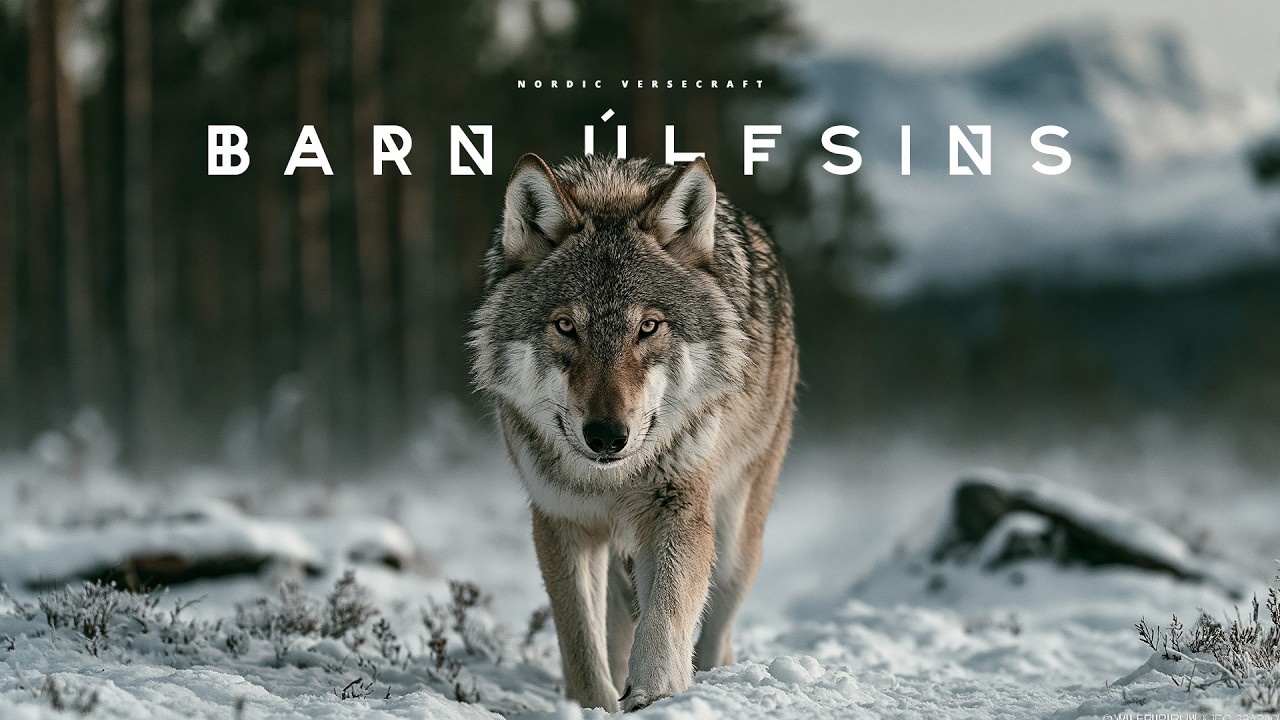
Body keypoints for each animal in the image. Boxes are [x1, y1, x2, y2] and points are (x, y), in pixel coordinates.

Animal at [470, 153, 797, 711]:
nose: (606, 436)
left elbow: (667, 612)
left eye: (648, 327)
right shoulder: (561, 522)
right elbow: (579, 636)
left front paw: (655, 692)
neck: (611, 480)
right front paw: (595, 704)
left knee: (716, 623)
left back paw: (713, 676)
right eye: (566, 326)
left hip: (736, 538)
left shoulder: (677, 507)